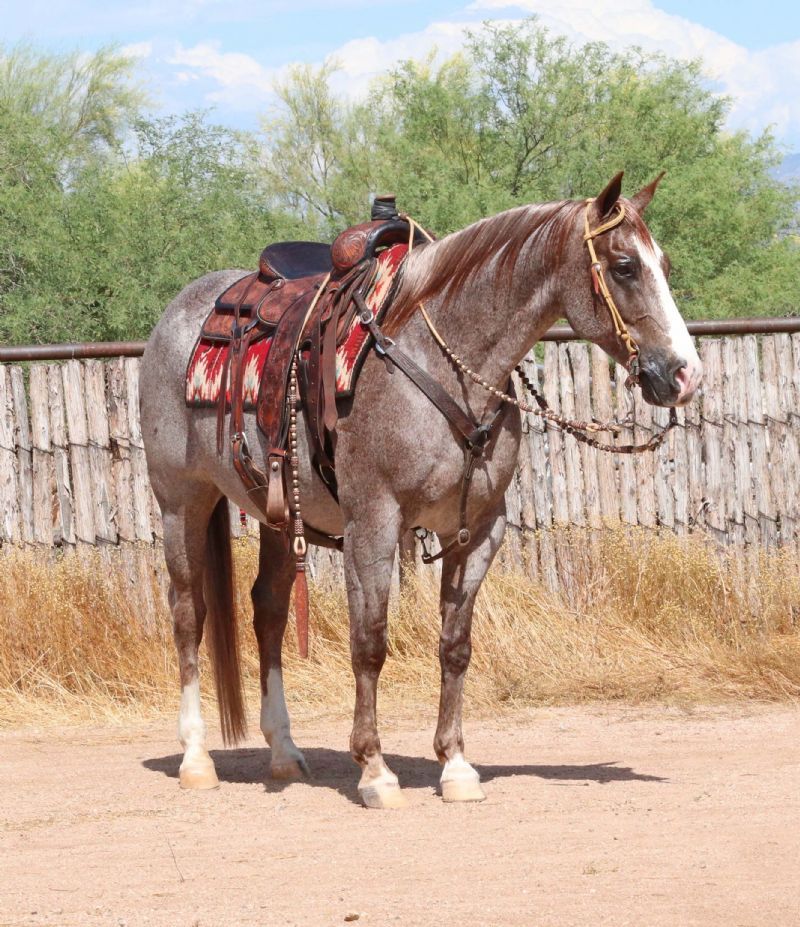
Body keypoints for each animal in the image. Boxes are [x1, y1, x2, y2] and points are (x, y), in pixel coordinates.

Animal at [140, 171, 702, 808]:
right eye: (625, 265)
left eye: (665, 263)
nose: (685, 374)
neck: (442, 361)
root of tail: (178, 313)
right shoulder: (374, 524)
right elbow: (370, 643)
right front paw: (375, 770)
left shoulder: (479, 532)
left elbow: (455, 646)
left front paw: (455, 766)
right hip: (180, 501)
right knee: (189, 613)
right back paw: (195, 757)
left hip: (279, 515)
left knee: (269, 612)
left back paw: (283, 751)